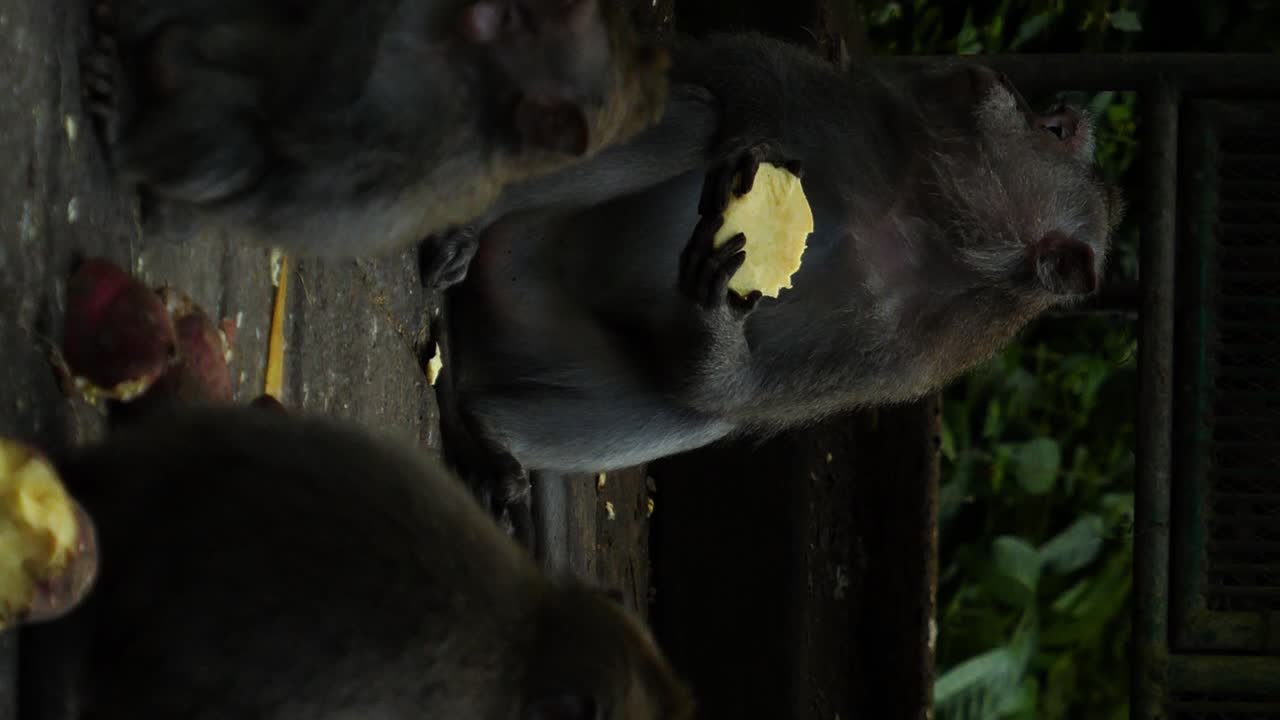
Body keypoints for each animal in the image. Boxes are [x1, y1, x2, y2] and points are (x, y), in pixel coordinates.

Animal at [437, 32, 1125, 518]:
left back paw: (486, 431)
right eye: (1055, 125)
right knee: (696, 121)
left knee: (695, 411)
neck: (917, 218)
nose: (1001, 76)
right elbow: (718, 75)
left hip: (524, 324)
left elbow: (728, 393)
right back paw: (477, 218)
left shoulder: (903, 349)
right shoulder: (841, 110)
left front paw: (712, 318)